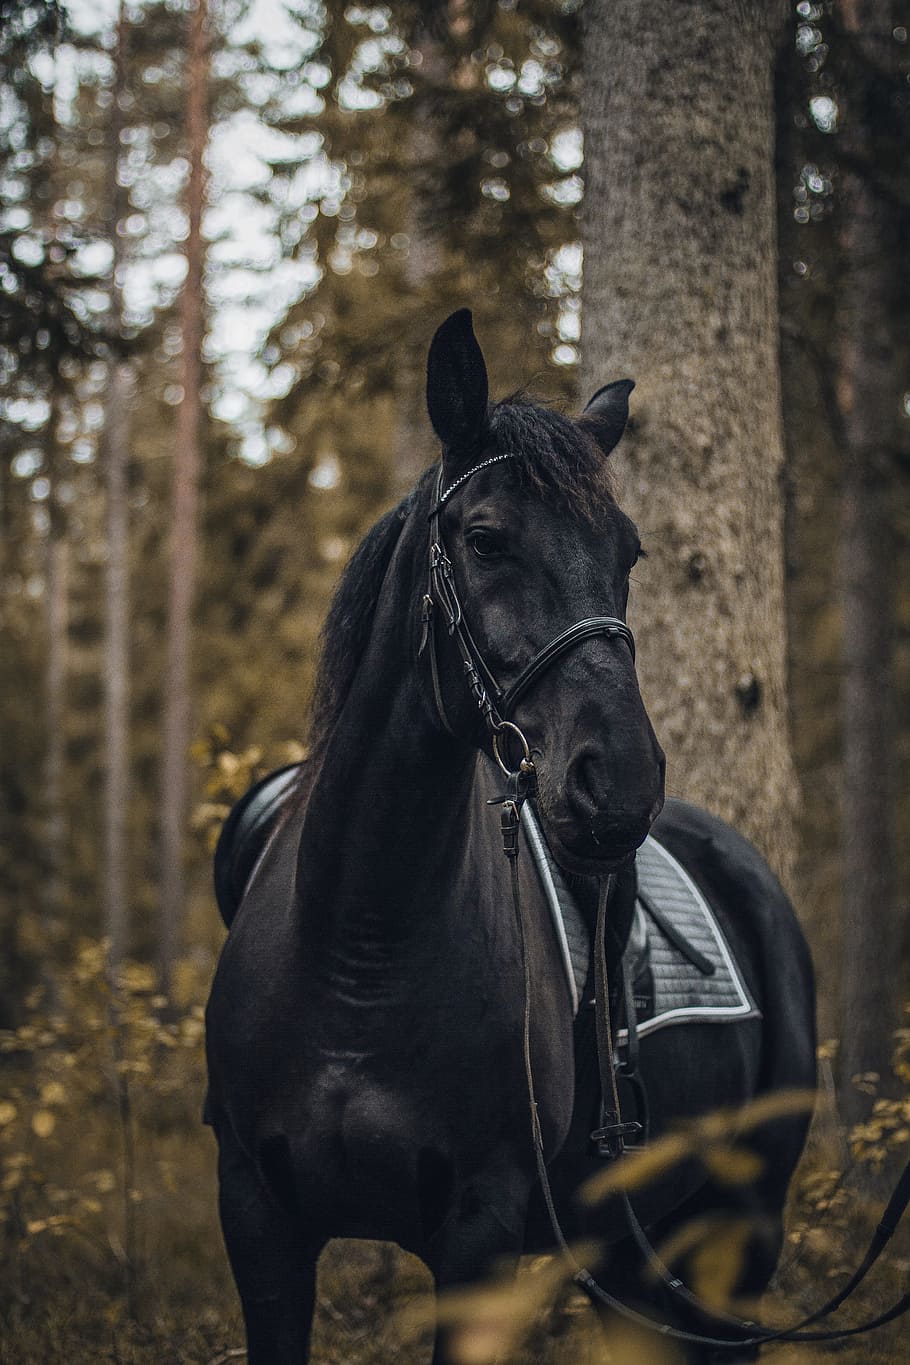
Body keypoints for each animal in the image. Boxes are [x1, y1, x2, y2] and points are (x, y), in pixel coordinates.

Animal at [208, 312, 818, 1365]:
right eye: (486, 540)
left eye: (628, 552)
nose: (621, 781)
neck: (357, 945)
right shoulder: (258, 1223)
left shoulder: (480, 1236)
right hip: (632, 1262)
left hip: (743, 1228)